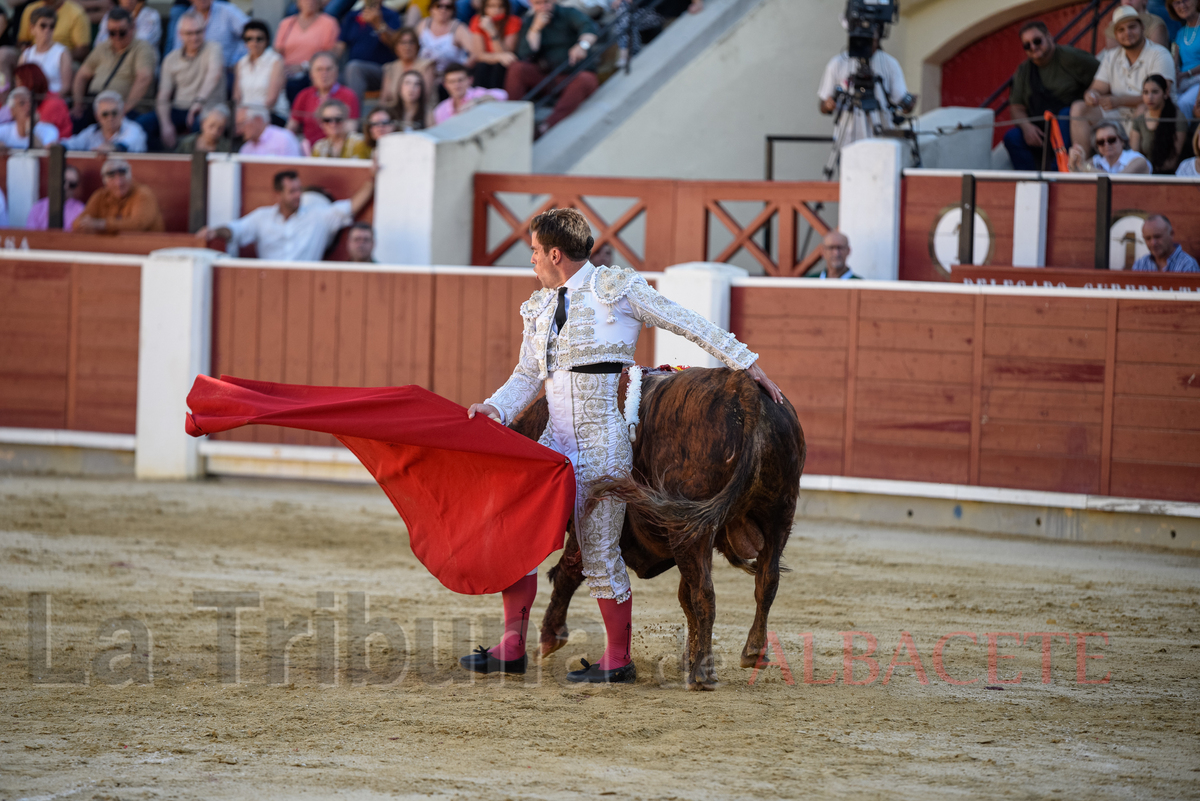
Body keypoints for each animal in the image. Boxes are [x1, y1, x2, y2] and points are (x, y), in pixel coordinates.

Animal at [508, 366, 806, 690]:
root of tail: (742, 388)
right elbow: (684, 597)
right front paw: (687, 657)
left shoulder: (586, 519)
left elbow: (568, 572)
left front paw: (549, 638)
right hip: (779, 514)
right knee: (767, 580)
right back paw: (752, 652)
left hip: (691, 529)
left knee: (705, 592)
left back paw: (702, 674)